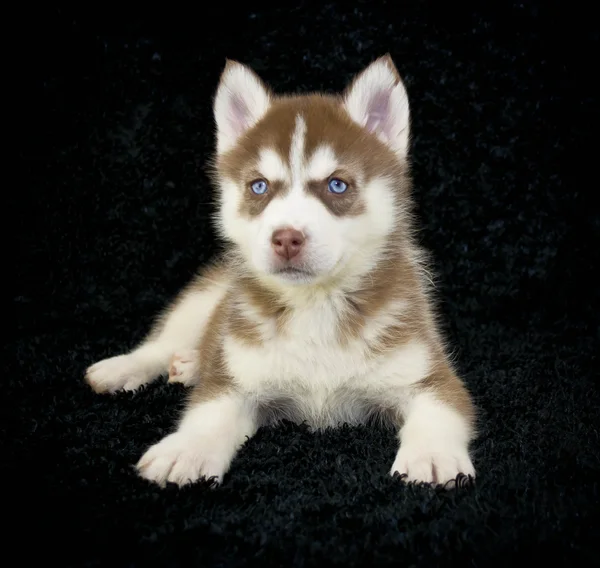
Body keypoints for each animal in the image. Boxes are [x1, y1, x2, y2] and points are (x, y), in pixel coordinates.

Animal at [85, 54, 478, 488]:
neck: (316, 305)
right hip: (205, 295)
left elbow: (440, 409)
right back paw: (130, 366)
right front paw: (185, 449)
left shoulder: (428, 374)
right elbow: (208, 413)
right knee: (163, 343)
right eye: (259, 187)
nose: (286, 238)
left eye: (337, 185)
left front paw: (432, 455)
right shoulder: (234, 381)